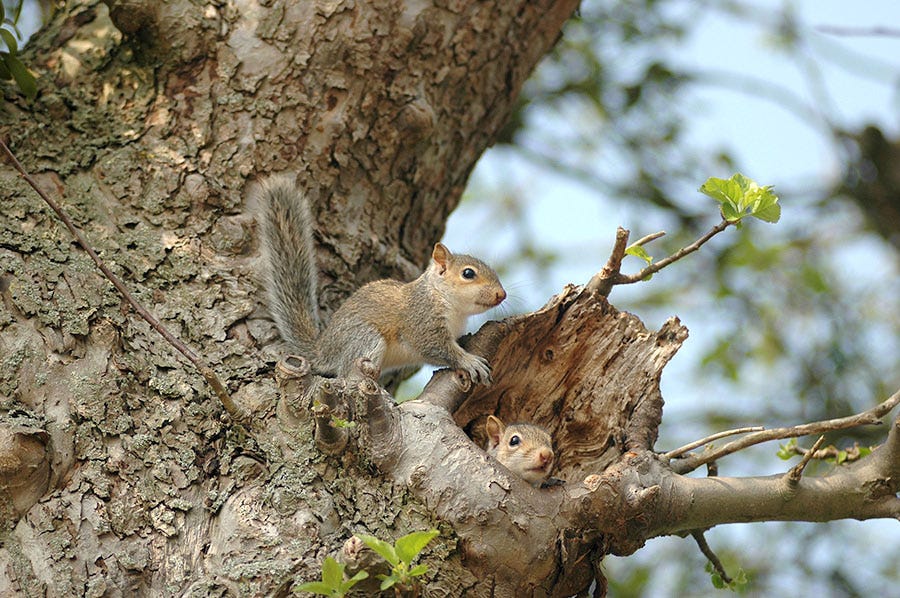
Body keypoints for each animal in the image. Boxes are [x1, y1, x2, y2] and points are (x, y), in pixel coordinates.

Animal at [256, 177, 506, 384]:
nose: (501, 294)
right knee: (346, 373)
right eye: (468, 274)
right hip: (364, 338)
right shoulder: (421, 320)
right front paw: (469, 362)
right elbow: (435, 347)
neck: (449, 303)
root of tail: (322, 349)